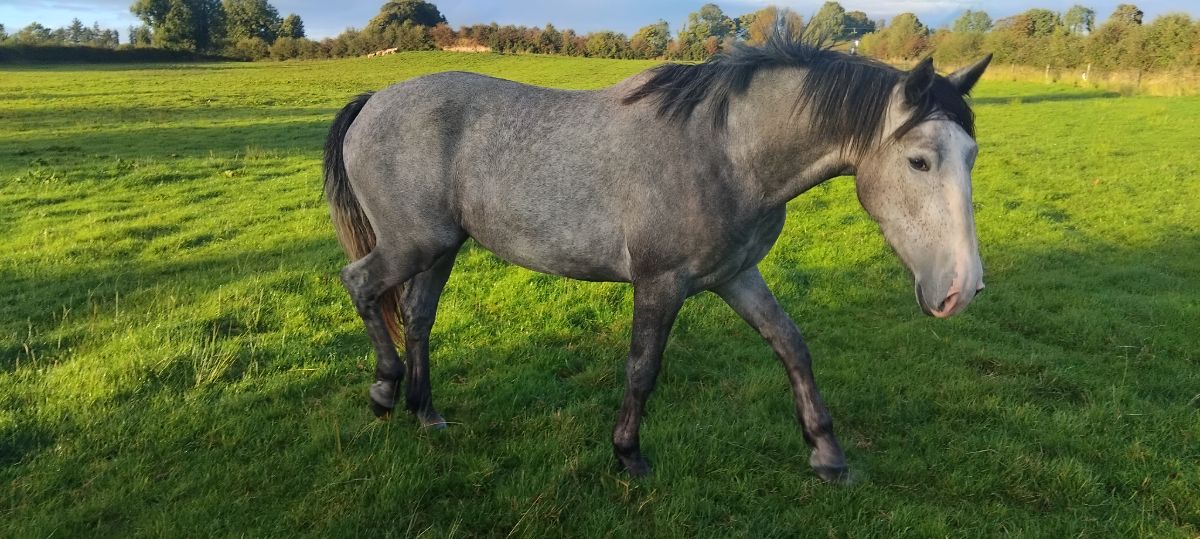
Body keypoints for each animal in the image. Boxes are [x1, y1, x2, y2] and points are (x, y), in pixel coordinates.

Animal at [323, 31, 993, 482]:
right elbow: (643, 368)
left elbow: (791, 345)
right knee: (360, 284)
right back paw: (384, 393)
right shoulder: (660, 282)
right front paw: (628, 455)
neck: (725, 151)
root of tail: (374, 98)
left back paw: (426, 412)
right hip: (414, 243)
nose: (961, 289)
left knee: (417, 315)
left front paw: (827, 455)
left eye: (972, 156)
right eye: (919, 160)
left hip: (440, 247)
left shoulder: (736, 276)